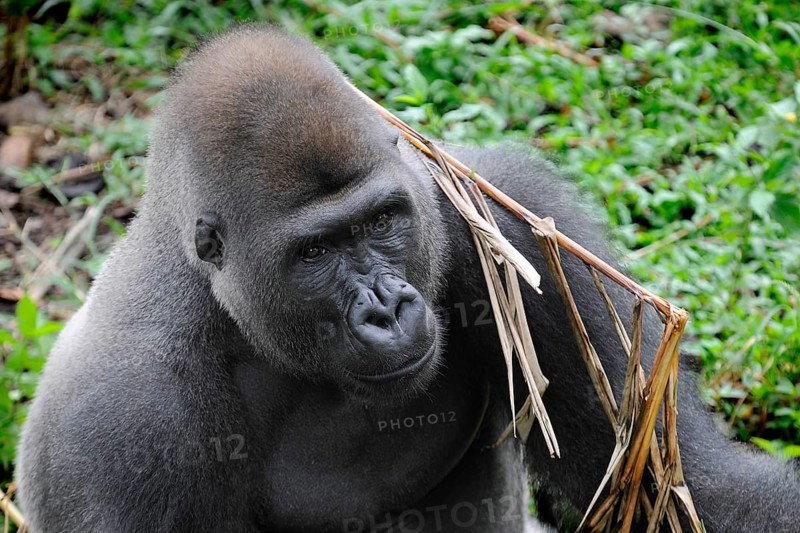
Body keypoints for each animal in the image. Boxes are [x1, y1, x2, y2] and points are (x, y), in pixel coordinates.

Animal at [16, 25, 800, 533]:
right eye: (316, 252)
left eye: (384, 219)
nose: (387, 309)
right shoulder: (124, 424)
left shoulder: (503, 219)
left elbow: (687, 491)